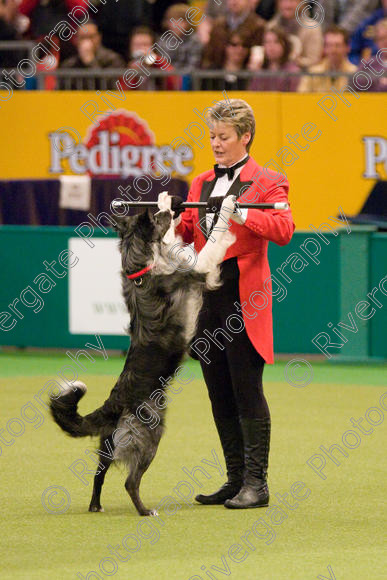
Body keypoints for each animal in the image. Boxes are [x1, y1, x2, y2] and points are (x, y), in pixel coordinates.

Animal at [50, 195, 235, 516]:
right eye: (159, 216)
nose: (174, 204)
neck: (142, 268)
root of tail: (112, 404)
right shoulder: (199, 271)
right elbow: (213, 242)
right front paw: (226, 206)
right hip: (149, 435)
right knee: (130, 482)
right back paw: (145, 511)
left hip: (109, 444)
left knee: (98, 475)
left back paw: (96, 506)